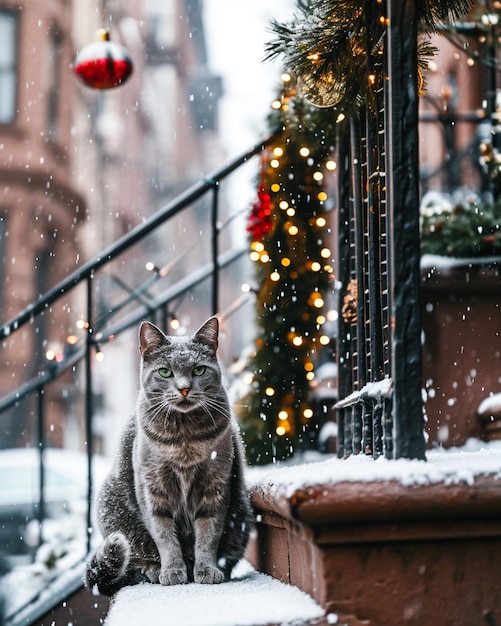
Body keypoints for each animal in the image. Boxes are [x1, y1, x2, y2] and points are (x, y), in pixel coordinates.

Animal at [86, 316, 252, 596]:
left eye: (199, 370)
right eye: (165, 372)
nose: (184, 389)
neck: (185, 440)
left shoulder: (216, 488)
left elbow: (208, 535)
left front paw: (206, 570)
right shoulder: (153, 490)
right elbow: (164, 537)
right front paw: (174, 572)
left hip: (241, 516)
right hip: (112, 509)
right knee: (139, 560)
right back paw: (155, 570)